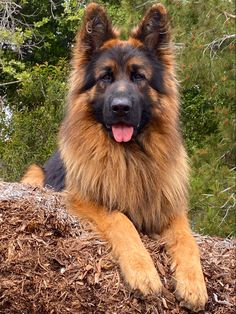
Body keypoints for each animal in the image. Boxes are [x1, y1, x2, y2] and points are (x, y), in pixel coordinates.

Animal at [21, 3, 206, 312]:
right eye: (106, 77)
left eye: (138, 76)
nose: (121, 107)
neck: (130, 156)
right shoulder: (85, 198)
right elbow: (121, 221)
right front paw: (143, 272)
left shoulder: (168, 206)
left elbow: (187, 237)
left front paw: (194, 284)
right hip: (34, 174)